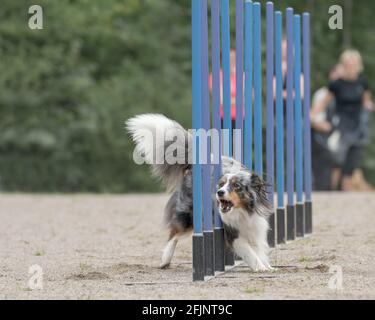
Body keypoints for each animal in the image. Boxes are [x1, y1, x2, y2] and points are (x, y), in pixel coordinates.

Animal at [126, 114, 274, 272]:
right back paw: (165, 259)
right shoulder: (232, 233)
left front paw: (267, 265)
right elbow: (249, 251)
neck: (243, 211)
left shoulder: (255, 225)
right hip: (190, 213)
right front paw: (261, 267)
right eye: (221, 184)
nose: (219, 192)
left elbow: (258, 248)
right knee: (174, 233)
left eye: (236, 186)